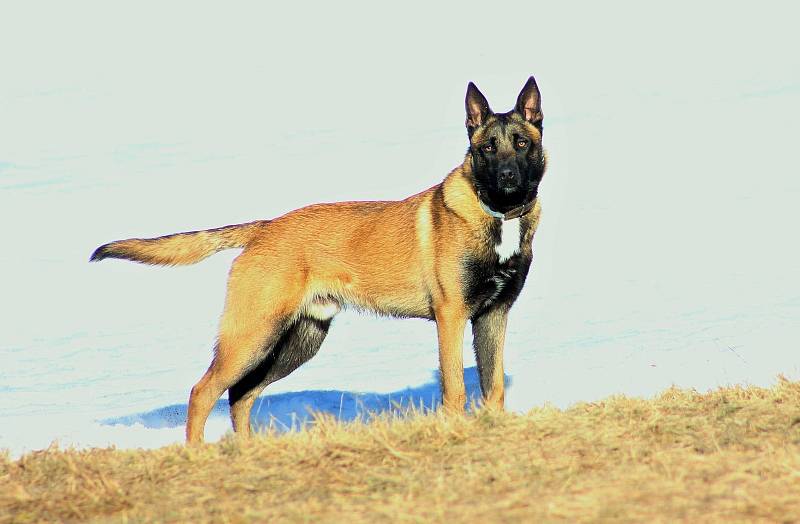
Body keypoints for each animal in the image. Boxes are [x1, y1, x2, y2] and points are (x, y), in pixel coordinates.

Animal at [90, 75, 548, 442]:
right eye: (487, 148)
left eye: (522, 143)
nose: (508, 178)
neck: (495, 218)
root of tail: (265, 227)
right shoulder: (451, 318)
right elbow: (455, 388)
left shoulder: (493, 316)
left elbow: (493, 387)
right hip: (254, 336)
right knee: (203, 392)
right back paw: (198, 454)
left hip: (296, 341)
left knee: (240, 396)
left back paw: (248, 452)